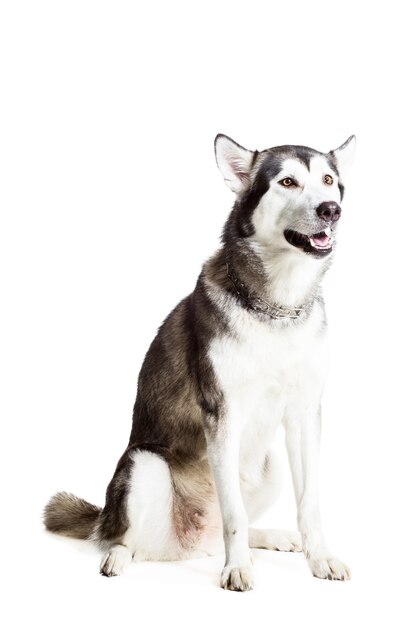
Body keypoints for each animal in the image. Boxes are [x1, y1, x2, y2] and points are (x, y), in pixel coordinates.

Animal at [43, 133, 354, 588]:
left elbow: (309, 504)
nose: (331, 210)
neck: (276, 309)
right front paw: (237, 568)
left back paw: (272, 537)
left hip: (271, 465)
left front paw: (321, 559)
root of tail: (189, 544)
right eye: (288, 182)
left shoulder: (304, 415)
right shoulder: (221, 414)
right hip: (143, 464)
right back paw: (118, 557)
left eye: (328, 180)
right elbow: (234, 515)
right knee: (123, 538)